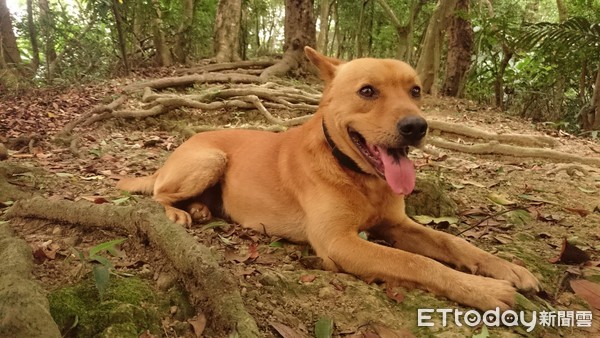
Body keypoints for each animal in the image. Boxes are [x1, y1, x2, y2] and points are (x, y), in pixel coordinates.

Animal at [117, 46, 540, 310]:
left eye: (416, 91)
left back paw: (202, 209)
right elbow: (417, 263)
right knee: (157, 193)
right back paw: (178, 213)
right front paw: (483, 290)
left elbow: (453, 243)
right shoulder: (339, 242)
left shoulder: (397, 223)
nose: (417, 127)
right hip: (210, 158)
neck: (358, 176)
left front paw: (508, 268)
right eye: (367, 91)